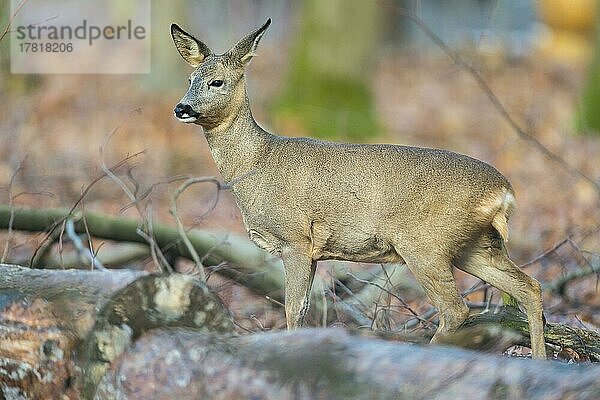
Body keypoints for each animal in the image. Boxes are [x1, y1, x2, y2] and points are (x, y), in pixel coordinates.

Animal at [170, 19, 548, 360]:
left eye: (216, 81)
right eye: (189, 79)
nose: (182, 107)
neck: (257, 163)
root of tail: (504, 192)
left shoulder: (295, 239)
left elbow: (293, 308)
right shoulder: (313, 251)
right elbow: (304, 309)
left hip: (425, 242)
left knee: (456, 309)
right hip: (475, 245)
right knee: (529, 287)